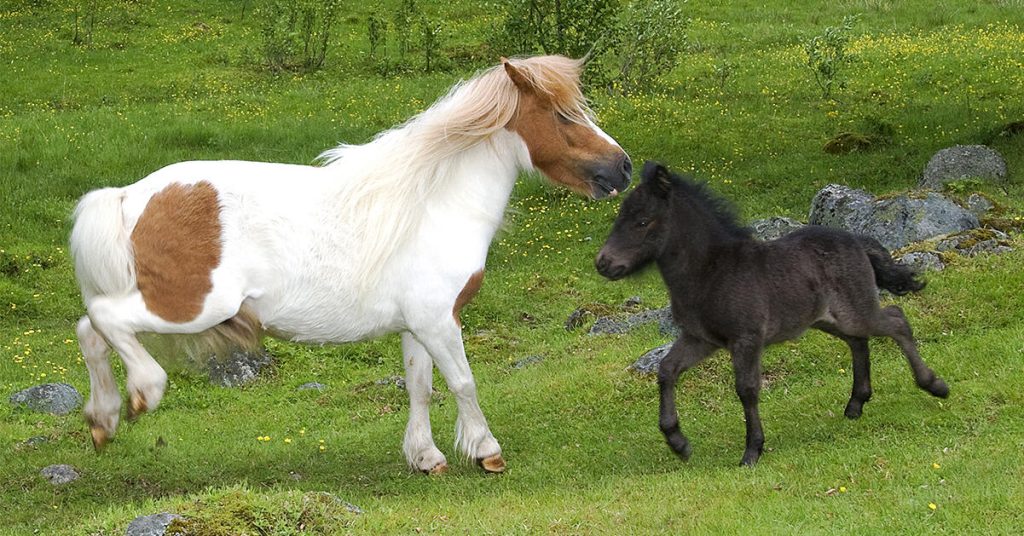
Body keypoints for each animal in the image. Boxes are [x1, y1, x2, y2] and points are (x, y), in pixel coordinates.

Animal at [69, 55, 631, 474]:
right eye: (563, 116)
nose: (623, 167)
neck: (434, 203)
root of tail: (128, 196)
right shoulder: (439, 321)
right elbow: (463, 383)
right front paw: (486, 451)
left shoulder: (416, 326)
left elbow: (421, 387)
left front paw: (426, 457)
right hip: (192, 306)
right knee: (105, 321)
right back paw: (143, 391)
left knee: (90, 330)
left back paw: (103, 420)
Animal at [595, 162, 947, 466]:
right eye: (619, 217)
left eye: (642, 221)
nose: (603, 263)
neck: (710, 271)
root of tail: (857, 239)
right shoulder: (701, 338)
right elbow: (667, 370)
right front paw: (678, 442)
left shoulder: (746, 338)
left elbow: (747, 389)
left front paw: (752, 450)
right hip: (828, 319)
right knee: (859, 341)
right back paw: (855, 404)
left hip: (856, 311)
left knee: (896, 320)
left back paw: (934, 385)